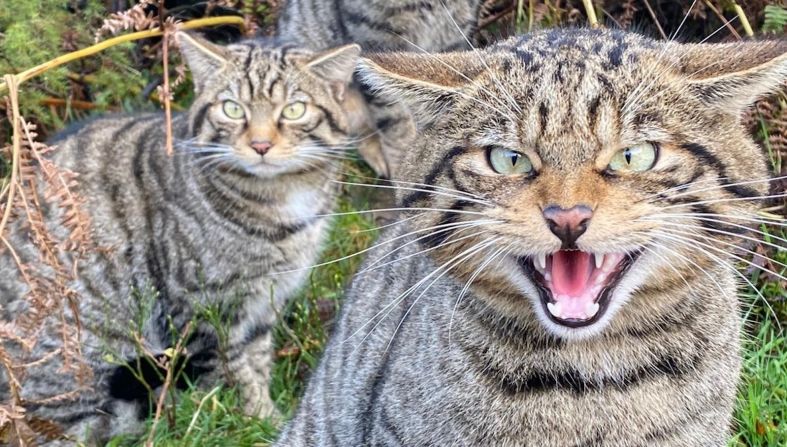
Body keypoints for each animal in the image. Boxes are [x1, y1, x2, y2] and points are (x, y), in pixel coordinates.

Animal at [0, 34, 360, 444]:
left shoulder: (264, 303)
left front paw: (268, 413)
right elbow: (234, 374)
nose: (261, 145)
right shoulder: (204, 308)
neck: (280, 200)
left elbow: (258, 360)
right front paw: (257, 421)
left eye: (295, 109)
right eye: (232, 109)